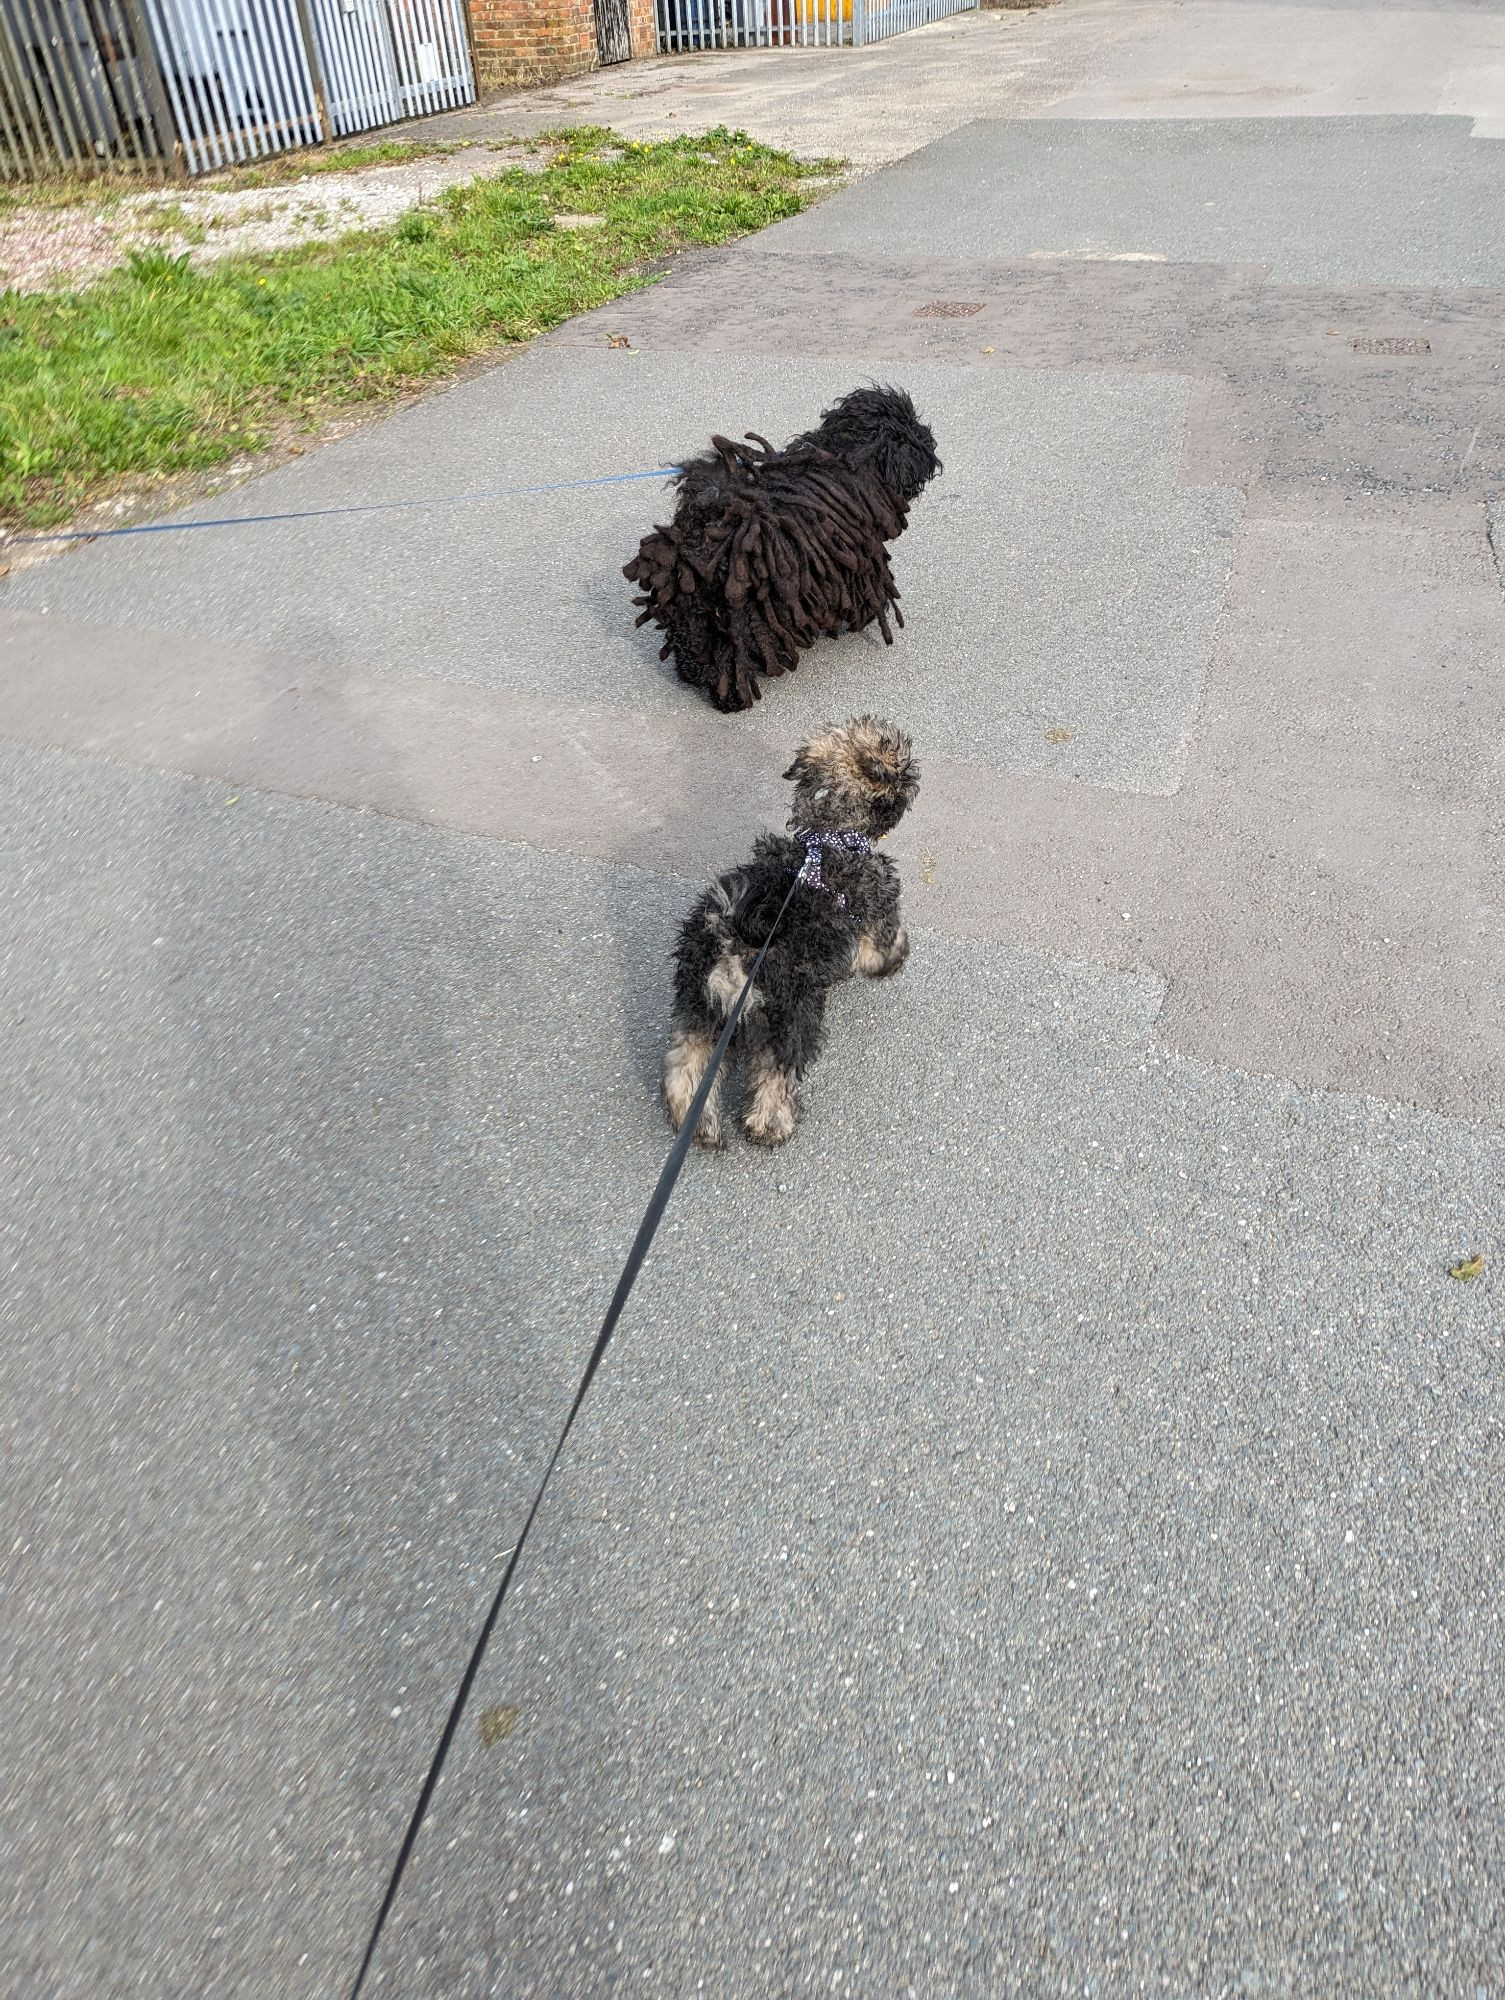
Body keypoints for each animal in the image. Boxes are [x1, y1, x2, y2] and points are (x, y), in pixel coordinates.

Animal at [616, 386, 936, 716]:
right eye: (912, 429)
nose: (931, 439)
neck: (848, 453)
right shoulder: (863, 560)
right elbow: (871, 592)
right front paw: (866, 618)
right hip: (744, 608)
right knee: (734, 651)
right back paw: (732, 698)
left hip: (692, 598)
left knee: (691, 633)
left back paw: (690, 670)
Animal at [668, 724, 916, 1160]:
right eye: (904, 765)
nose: (914, 779)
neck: (829, 837)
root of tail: (732, 946)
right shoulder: (876, 912)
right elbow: (883, 947)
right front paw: (895, 961)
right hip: (791, 1013)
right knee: (775, 1072)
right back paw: (770, 1127)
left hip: (700, 1007)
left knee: (685, 1068)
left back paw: (702, 1129)